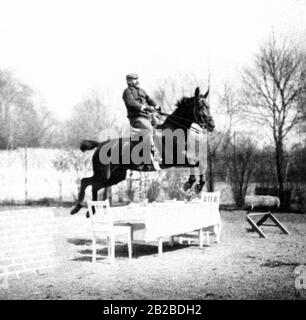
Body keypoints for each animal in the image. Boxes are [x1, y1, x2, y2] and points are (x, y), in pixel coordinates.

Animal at [71, 86, 215, 214]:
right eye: (200, 106)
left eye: (208, 106)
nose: (212, 125)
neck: (173, 132)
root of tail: (100, 144)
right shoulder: (176, 160)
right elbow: (195, 163)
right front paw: (189, 184)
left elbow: (200, 163)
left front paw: (198, 185)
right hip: (102, 174)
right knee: (85, 182)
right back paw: (77, 208)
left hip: (115, 176)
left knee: (95, 186)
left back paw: (91, 211)